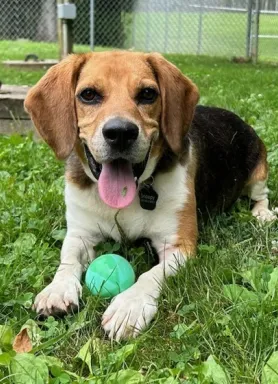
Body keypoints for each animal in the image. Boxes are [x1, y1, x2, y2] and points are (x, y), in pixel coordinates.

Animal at [23, 51, 276, 342]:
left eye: (147, 94)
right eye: (88, 94)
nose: (120, 132)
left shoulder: (178, 247)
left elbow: (151, 275)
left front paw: (129, 306)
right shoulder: (79, 234)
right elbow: (68, 259)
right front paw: (58, 288)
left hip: (258, 172)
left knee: (262, 195)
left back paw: (263, 214)